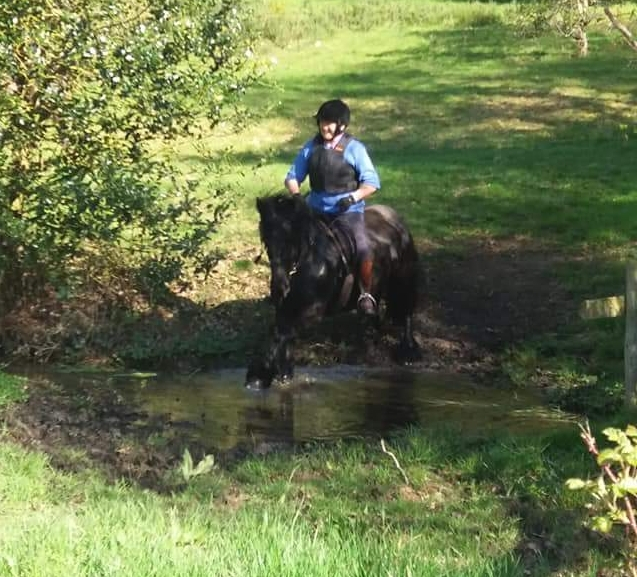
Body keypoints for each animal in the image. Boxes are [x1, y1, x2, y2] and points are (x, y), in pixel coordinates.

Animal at [246, 192, 420, 388]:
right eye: (265, 239)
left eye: (289, 237)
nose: (280, 286)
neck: (310, 260)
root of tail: (394, 218)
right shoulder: (286, 309)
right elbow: (279, 332)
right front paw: (279, 373)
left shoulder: (312, 311)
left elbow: (283, 333)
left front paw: (260, 375)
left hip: (403, 278)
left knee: (406, 309)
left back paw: (409, 352)